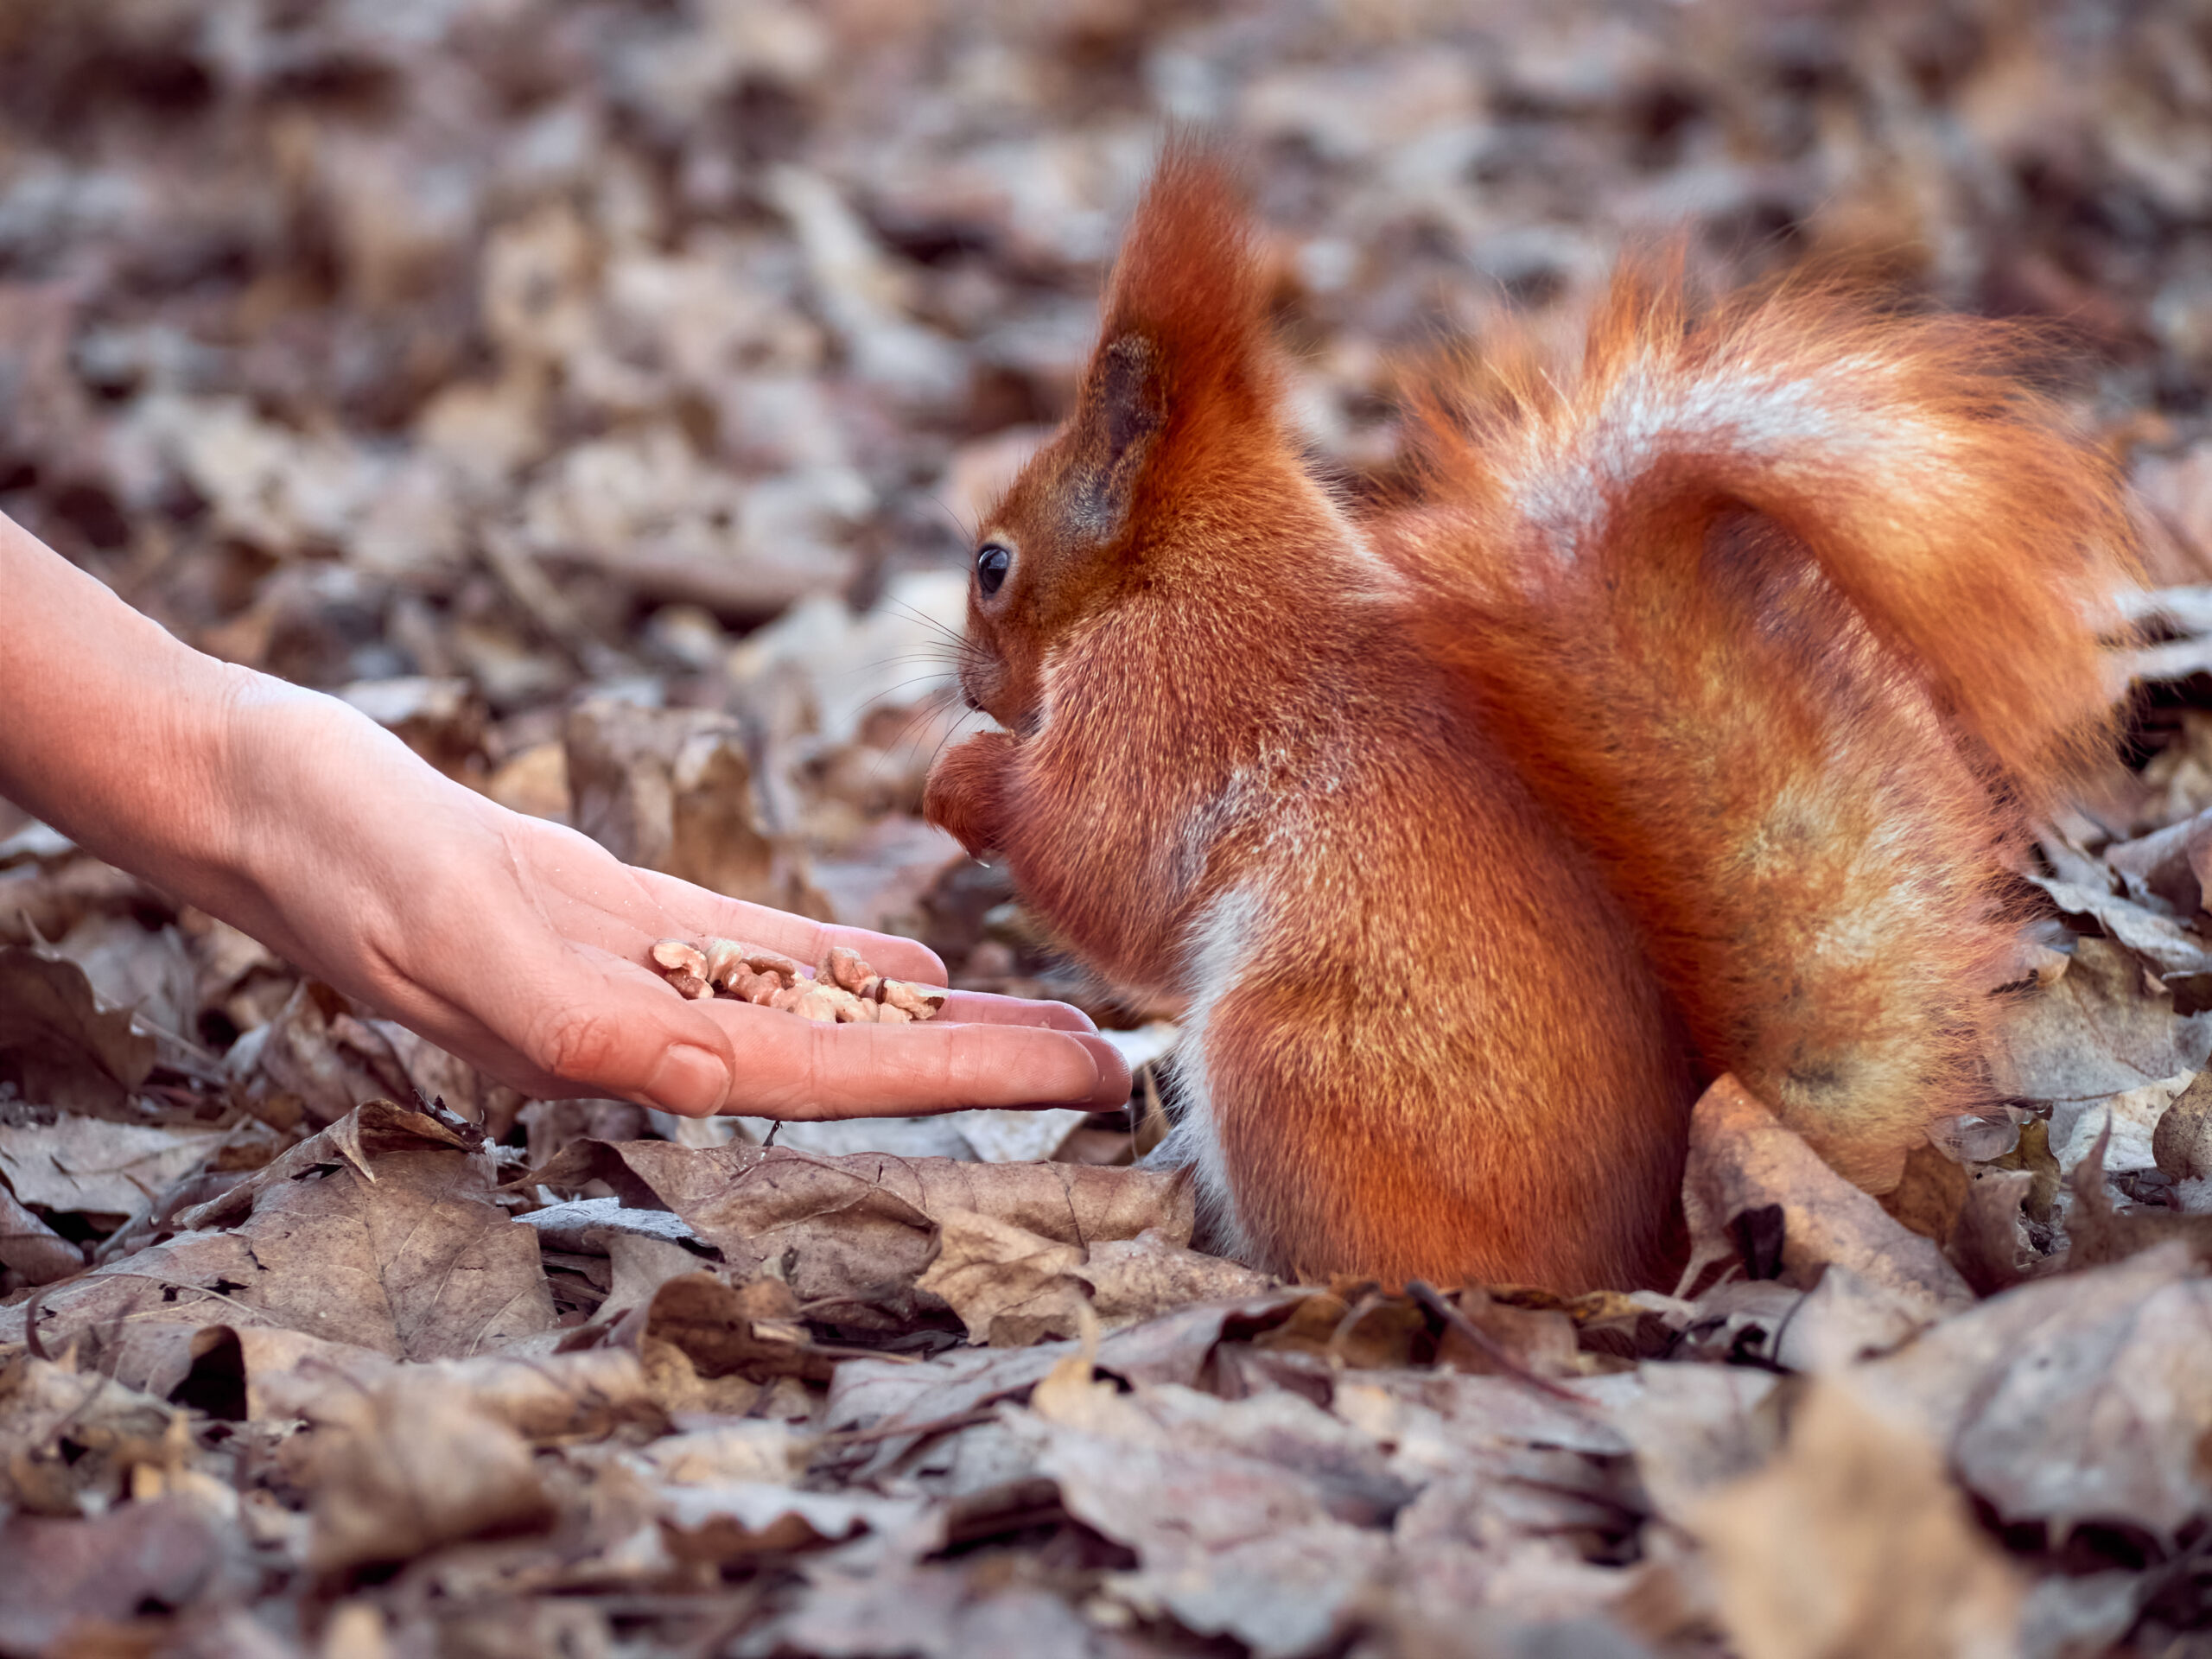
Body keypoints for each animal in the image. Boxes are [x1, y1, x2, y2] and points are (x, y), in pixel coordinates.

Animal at [919, 145, 2141, 1300]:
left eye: (991, 566)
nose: (973, 689)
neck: (1190, 572)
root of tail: (1649, 1253)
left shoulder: (1165, 701)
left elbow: (1106, 867)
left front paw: (962, 785)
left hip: (1293, 1075)